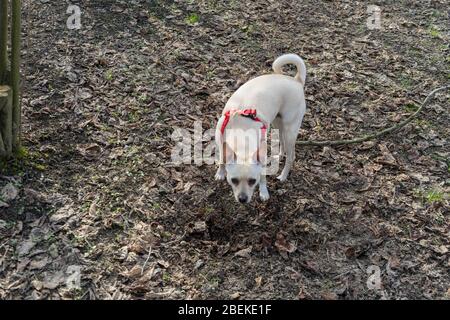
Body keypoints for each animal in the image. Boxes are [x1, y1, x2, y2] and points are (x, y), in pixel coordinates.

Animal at [214, 52, 306, 202]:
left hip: (290, 130)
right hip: (278, 124)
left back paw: (283, 176)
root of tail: (296, 80)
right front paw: (220, 173)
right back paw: (278, 155)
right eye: (233, 180)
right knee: (282, 142)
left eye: (253, 181)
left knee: (291, 156)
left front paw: (263, 192)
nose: (243, 199)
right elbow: (222, 159)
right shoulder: (221, 144)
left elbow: (263, 177)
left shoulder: (260, 160)